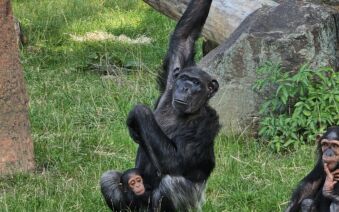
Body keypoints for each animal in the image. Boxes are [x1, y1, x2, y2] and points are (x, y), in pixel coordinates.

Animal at [99, 0, 220, 210]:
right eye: (184, 78)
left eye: (196, 83)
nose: (185, 88)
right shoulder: (173, 76)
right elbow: (184, 35)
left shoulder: (208, 122)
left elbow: (177, 162)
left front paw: (139, 112)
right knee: (108, 178)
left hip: (189, 204)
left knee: (171, 184)